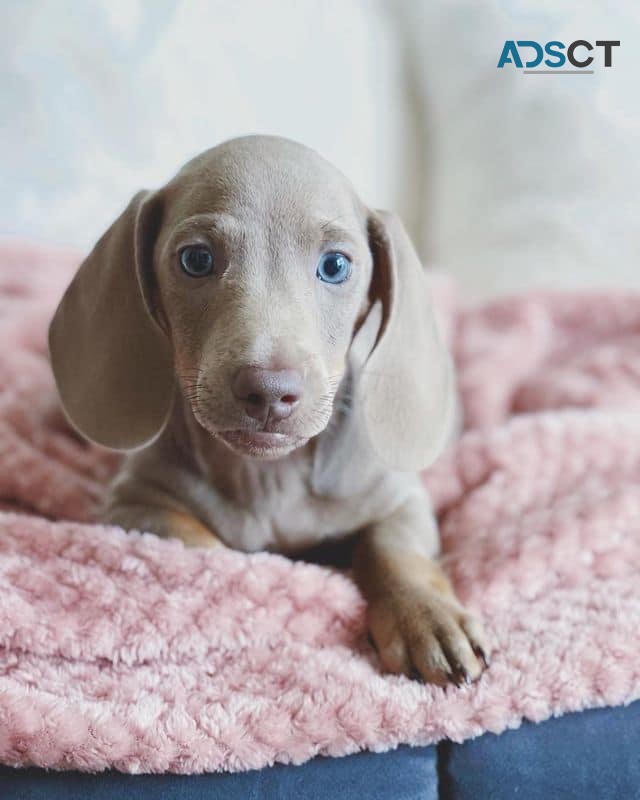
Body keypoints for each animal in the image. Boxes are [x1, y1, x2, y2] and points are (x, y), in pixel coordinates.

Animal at [50, 138, 490, 688]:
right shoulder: (134, 507)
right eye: (196, 259)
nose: (268, 390)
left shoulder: (398, 498)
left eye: (335, 265)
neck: (269, 477)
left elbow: (395, 549)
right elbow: (199, 546)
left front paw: (426, 616)